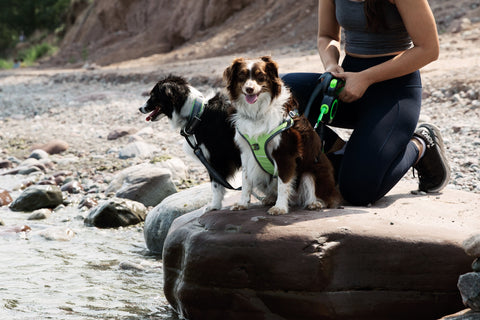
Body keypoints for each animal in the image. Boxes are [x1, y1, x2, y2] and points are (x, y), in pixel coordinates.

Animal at [141, 76, 242, 211]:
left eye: (153, 96)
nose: (140, 108)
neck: (197, 115)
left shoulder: (216, 158)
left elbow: (215, 185)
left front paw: (214, 206)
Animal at [224, 56, 340, 214]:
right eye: (241, 76)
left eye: (261, 76)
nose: (249, 89)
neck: (257, 113)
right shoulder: (246, 151)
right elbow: (246, 179)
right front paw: (242, 203)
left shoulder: (285, 153)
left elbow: (283, 182)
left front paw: (280, 207)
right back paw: (270, 198)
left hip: (312, 171)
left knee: (316, 191)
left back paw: (315, 203)